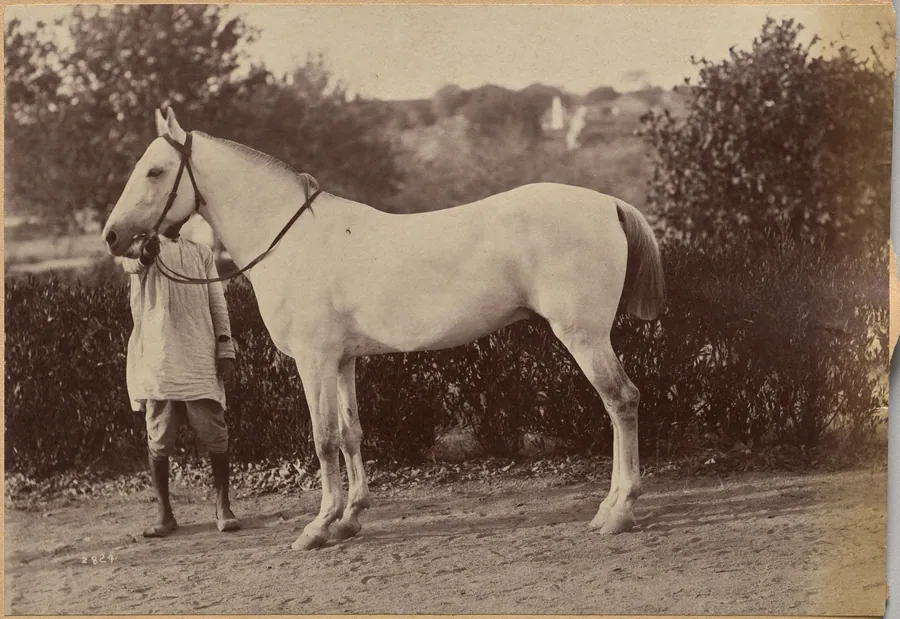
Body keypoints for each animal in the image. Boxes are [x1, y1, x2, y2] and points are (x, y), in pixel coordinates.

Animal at [102, 108, 666, 550]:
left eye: (155, 171)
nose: (113, 237)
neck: (292, 240)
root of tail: (608, 204)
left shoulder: (314, 361)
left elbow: (323, 438)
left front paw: (317, 527)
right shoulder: (343, 361)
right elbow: (352, 434)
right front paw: (349, 519)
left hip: (583, 336)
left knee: (621, 401)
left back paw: (618, 511)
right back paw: (611, 506)